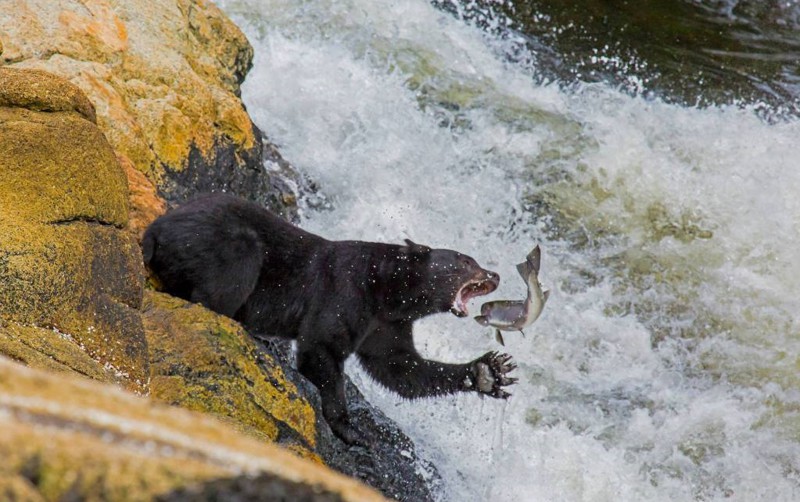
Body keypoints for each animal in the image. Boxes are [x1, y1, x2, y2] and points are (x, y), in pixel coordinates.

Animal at [144, 194, 520, 446]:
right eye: (466, 262)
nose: (495, 274)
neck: (388, 290)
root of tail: (154, 230)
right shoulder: (346, 292)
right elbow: (322, 347)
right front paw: (351, 429)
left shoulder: (386, 325)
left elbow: (399, 368)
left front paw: (489, 372)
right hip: (223, 242)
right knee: (229, 277)